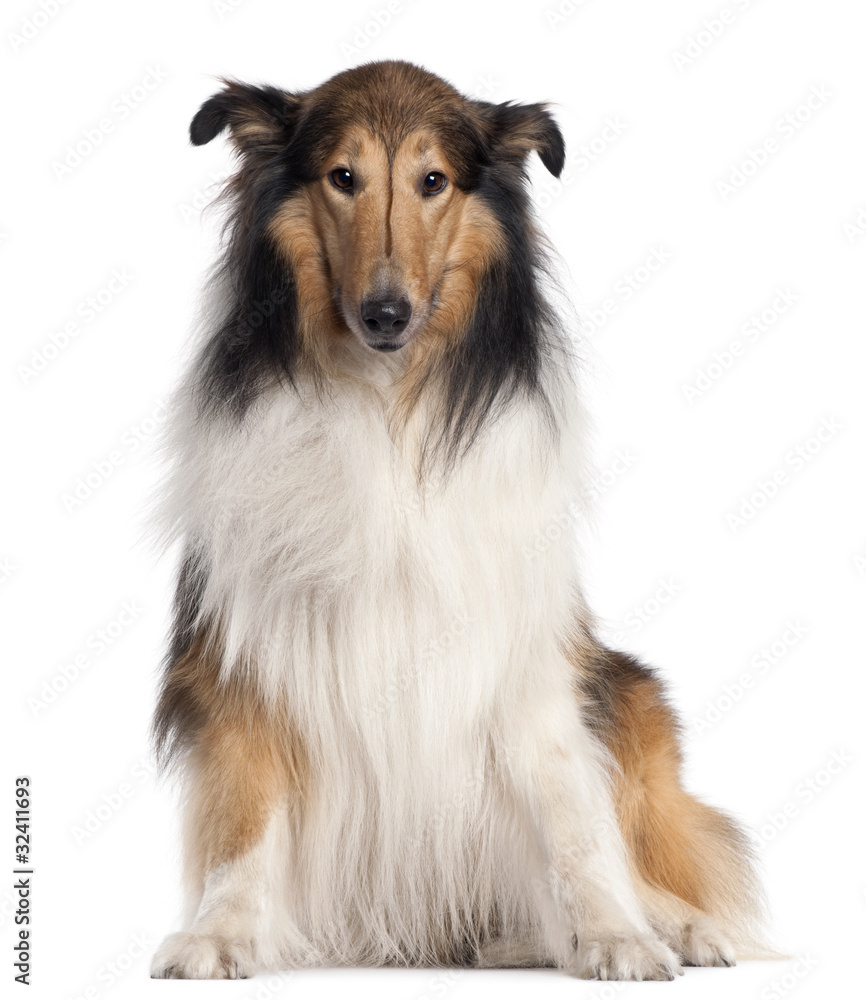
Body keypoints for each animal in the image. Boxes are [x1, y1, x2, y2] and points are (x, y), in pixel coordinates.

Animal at [148, 58, 764, 980]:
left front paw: (614, 935)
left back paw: (678, 926)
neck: (390, 400)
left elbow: (574, 824)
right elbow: (246, 808)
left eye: (433, 181)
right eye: (343, 177)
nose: (386, 315)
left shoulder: (523, 655)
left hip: (628, 690)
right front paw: (221, 933)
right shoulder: (247, 641)